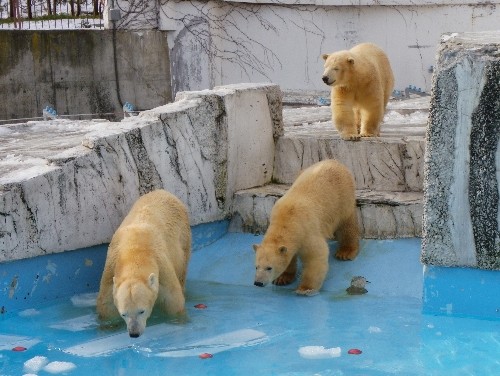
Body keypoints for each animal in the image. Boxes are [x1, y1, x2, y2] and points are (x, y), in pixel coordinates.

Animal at [96, 189, 191, 340]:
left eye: (142, 311)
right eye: (124, 314)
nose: (134, 333)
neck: (135, 252)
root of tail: (163, 191)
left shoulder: (162, 266)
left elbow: (173, 300)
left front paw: (178, 320)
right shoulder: (111, 267)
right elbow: (106, 304)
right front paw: (108, 326)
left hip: (183, 237)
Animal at [254, 159, 360, 296]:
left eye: (269, 268)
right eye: (256, 266)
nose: (258, 283)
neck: (286, 221)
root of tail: (334, 161)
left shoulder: (307, 231)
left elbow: (316, 257)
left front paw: (305, 288)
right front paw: (282, 278)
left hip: (341, 197)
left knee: (346, 224)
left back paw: (345, 252)